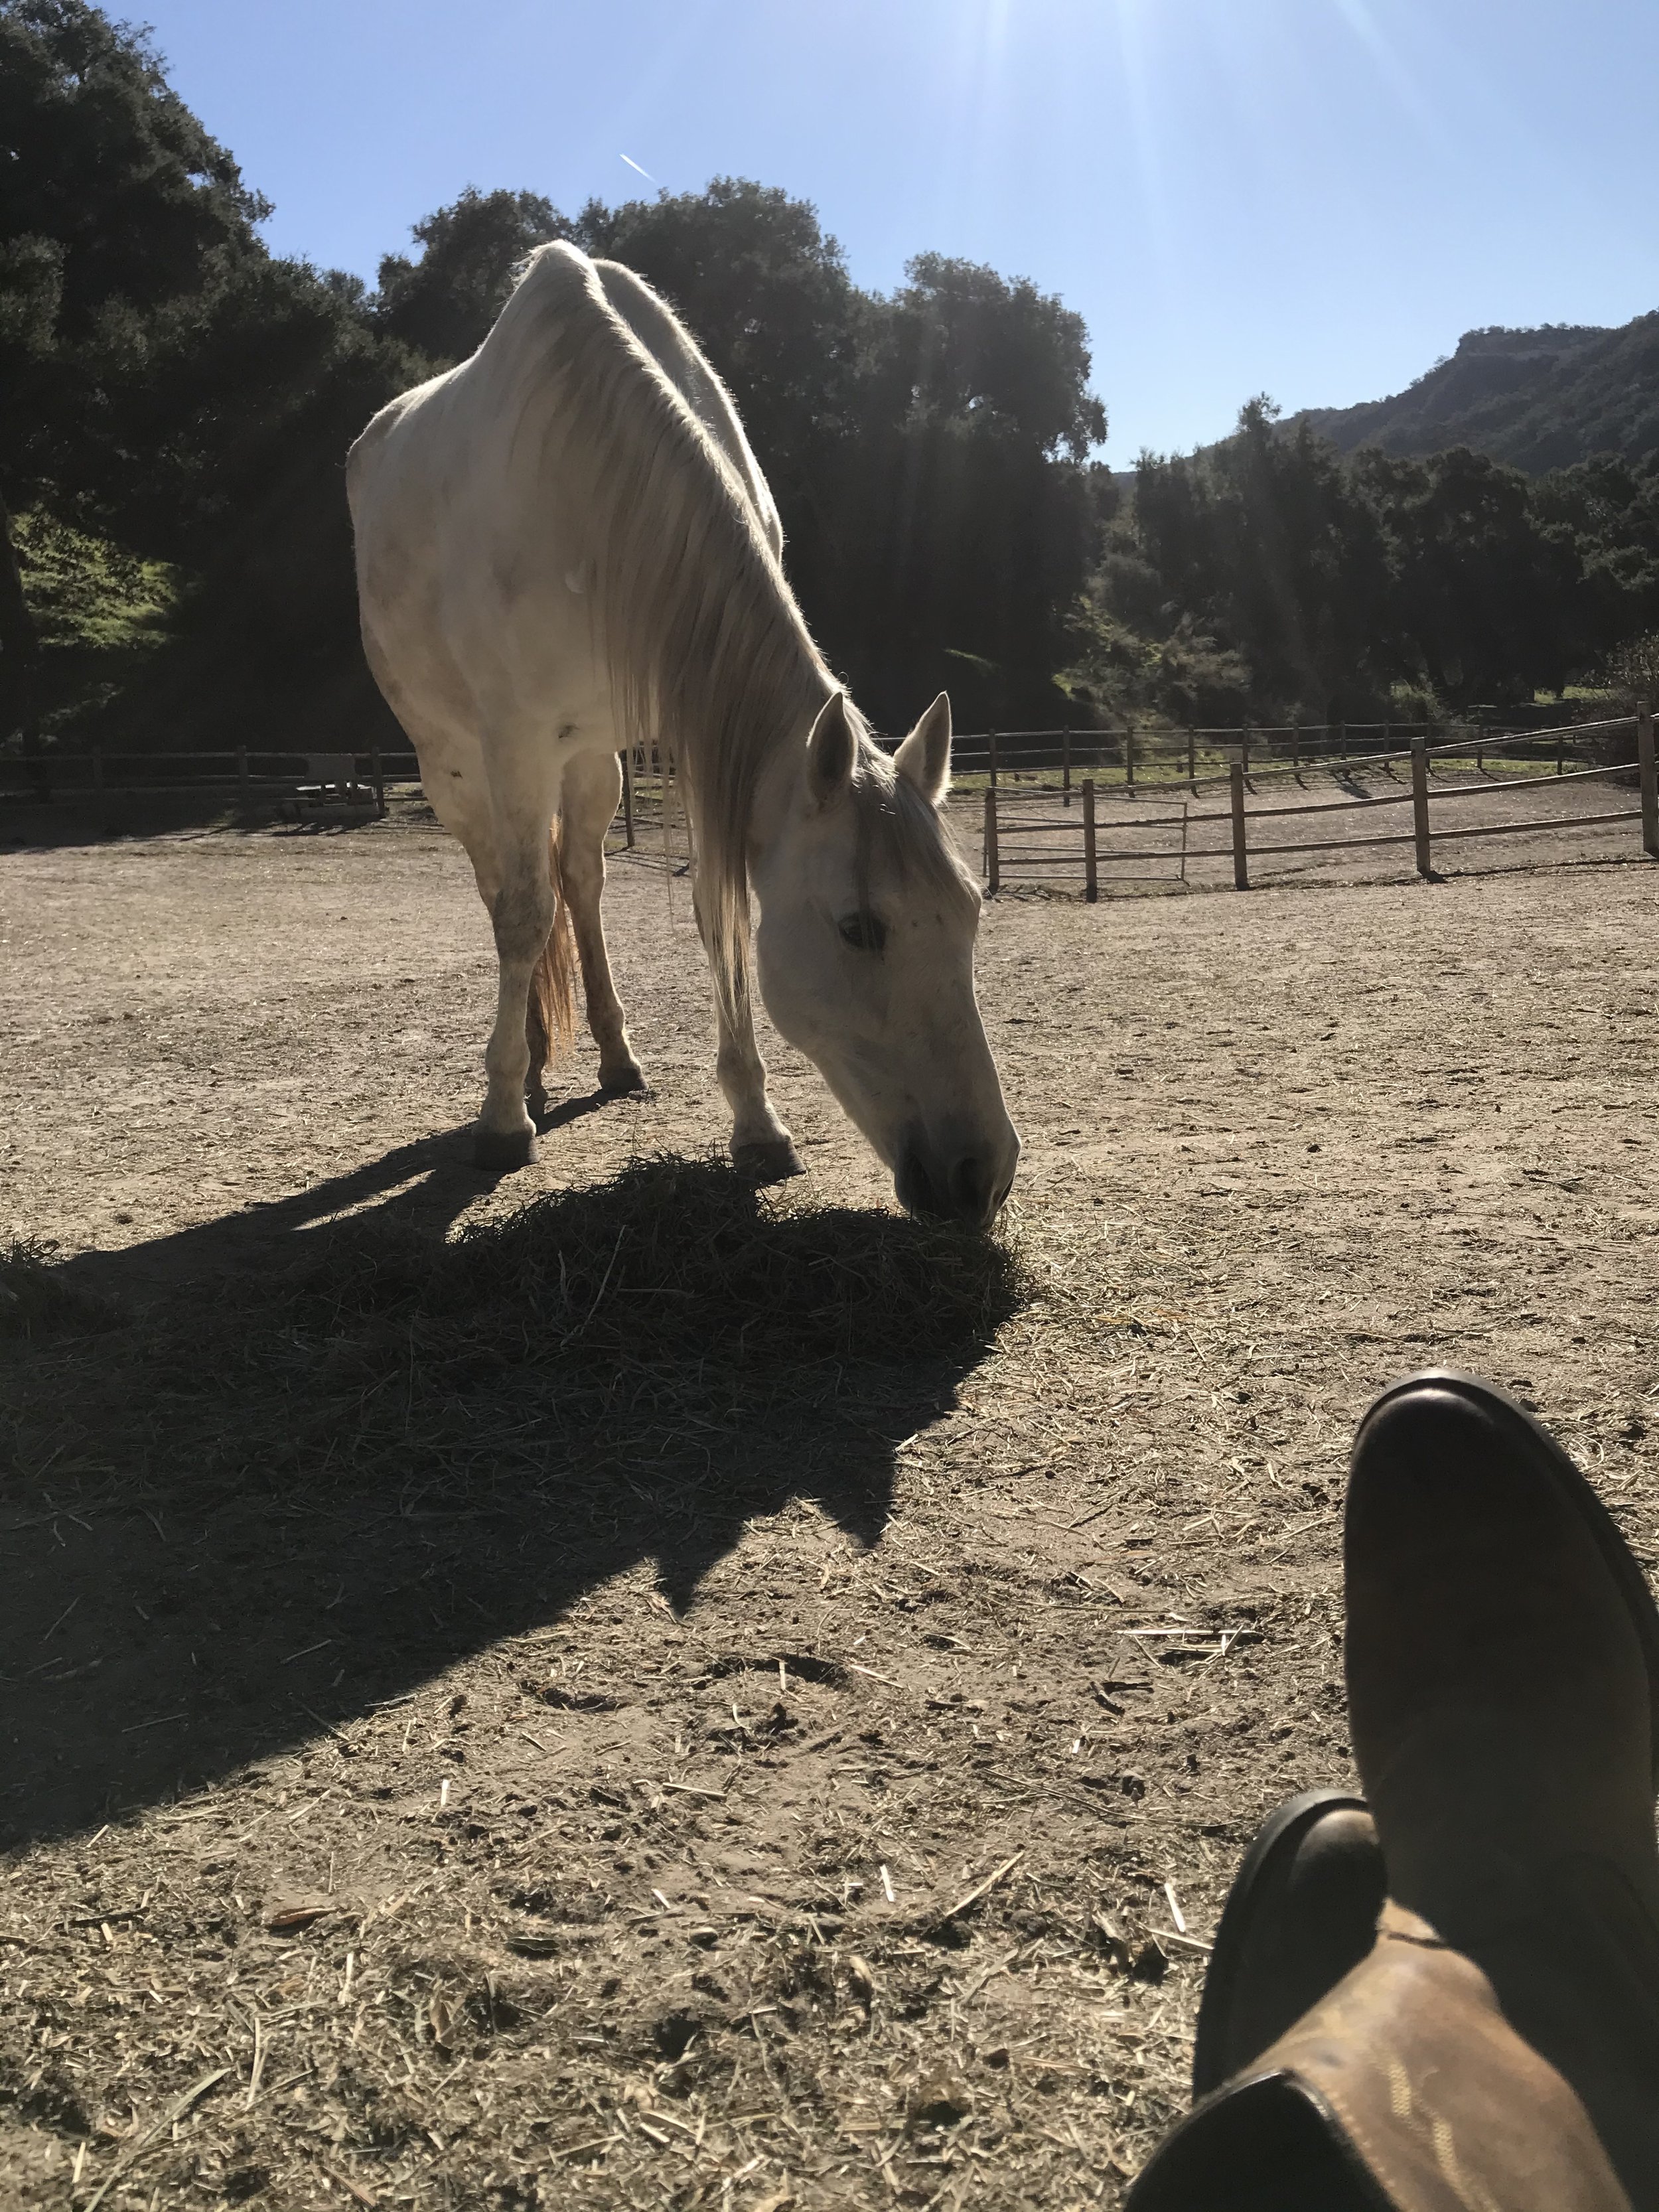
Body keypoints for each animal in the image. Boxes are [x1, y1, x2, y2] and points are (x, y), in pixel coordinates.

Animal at [347, 242, 1019, 1228]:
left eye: (972, 910)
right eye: (860, 928)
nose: (982, 1176)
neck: (594, 488)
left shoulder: (704, 731)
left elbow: (715, 911)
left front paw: (758, 1123)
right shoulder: (514, 744)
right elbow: (522, 919)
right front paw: (503, 1121)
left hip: (592, 761)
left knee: (579, 879)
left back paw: (616, 1059)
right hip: (457, 768)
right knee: (507, 892)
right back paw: (530, 1072)